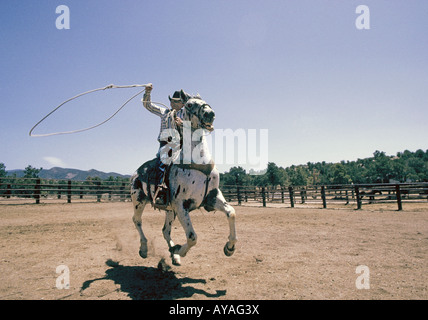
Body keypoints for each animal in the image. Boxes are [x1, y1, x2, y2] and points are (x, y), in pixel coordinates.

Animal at [130, 97, 237, 264]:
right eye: (190, 104)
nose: (210, 114)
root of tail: (136, 172)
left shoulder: (212, 197)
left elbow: (231, 212)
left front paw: (229, 248)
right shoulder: (181, 205)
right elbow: (192, 237)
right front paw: (179, 250)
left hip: (169, 210)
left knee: (165, 230)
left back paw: (174, 255)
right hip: (138, 200)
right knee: (137, 220)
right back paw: (144, 249)